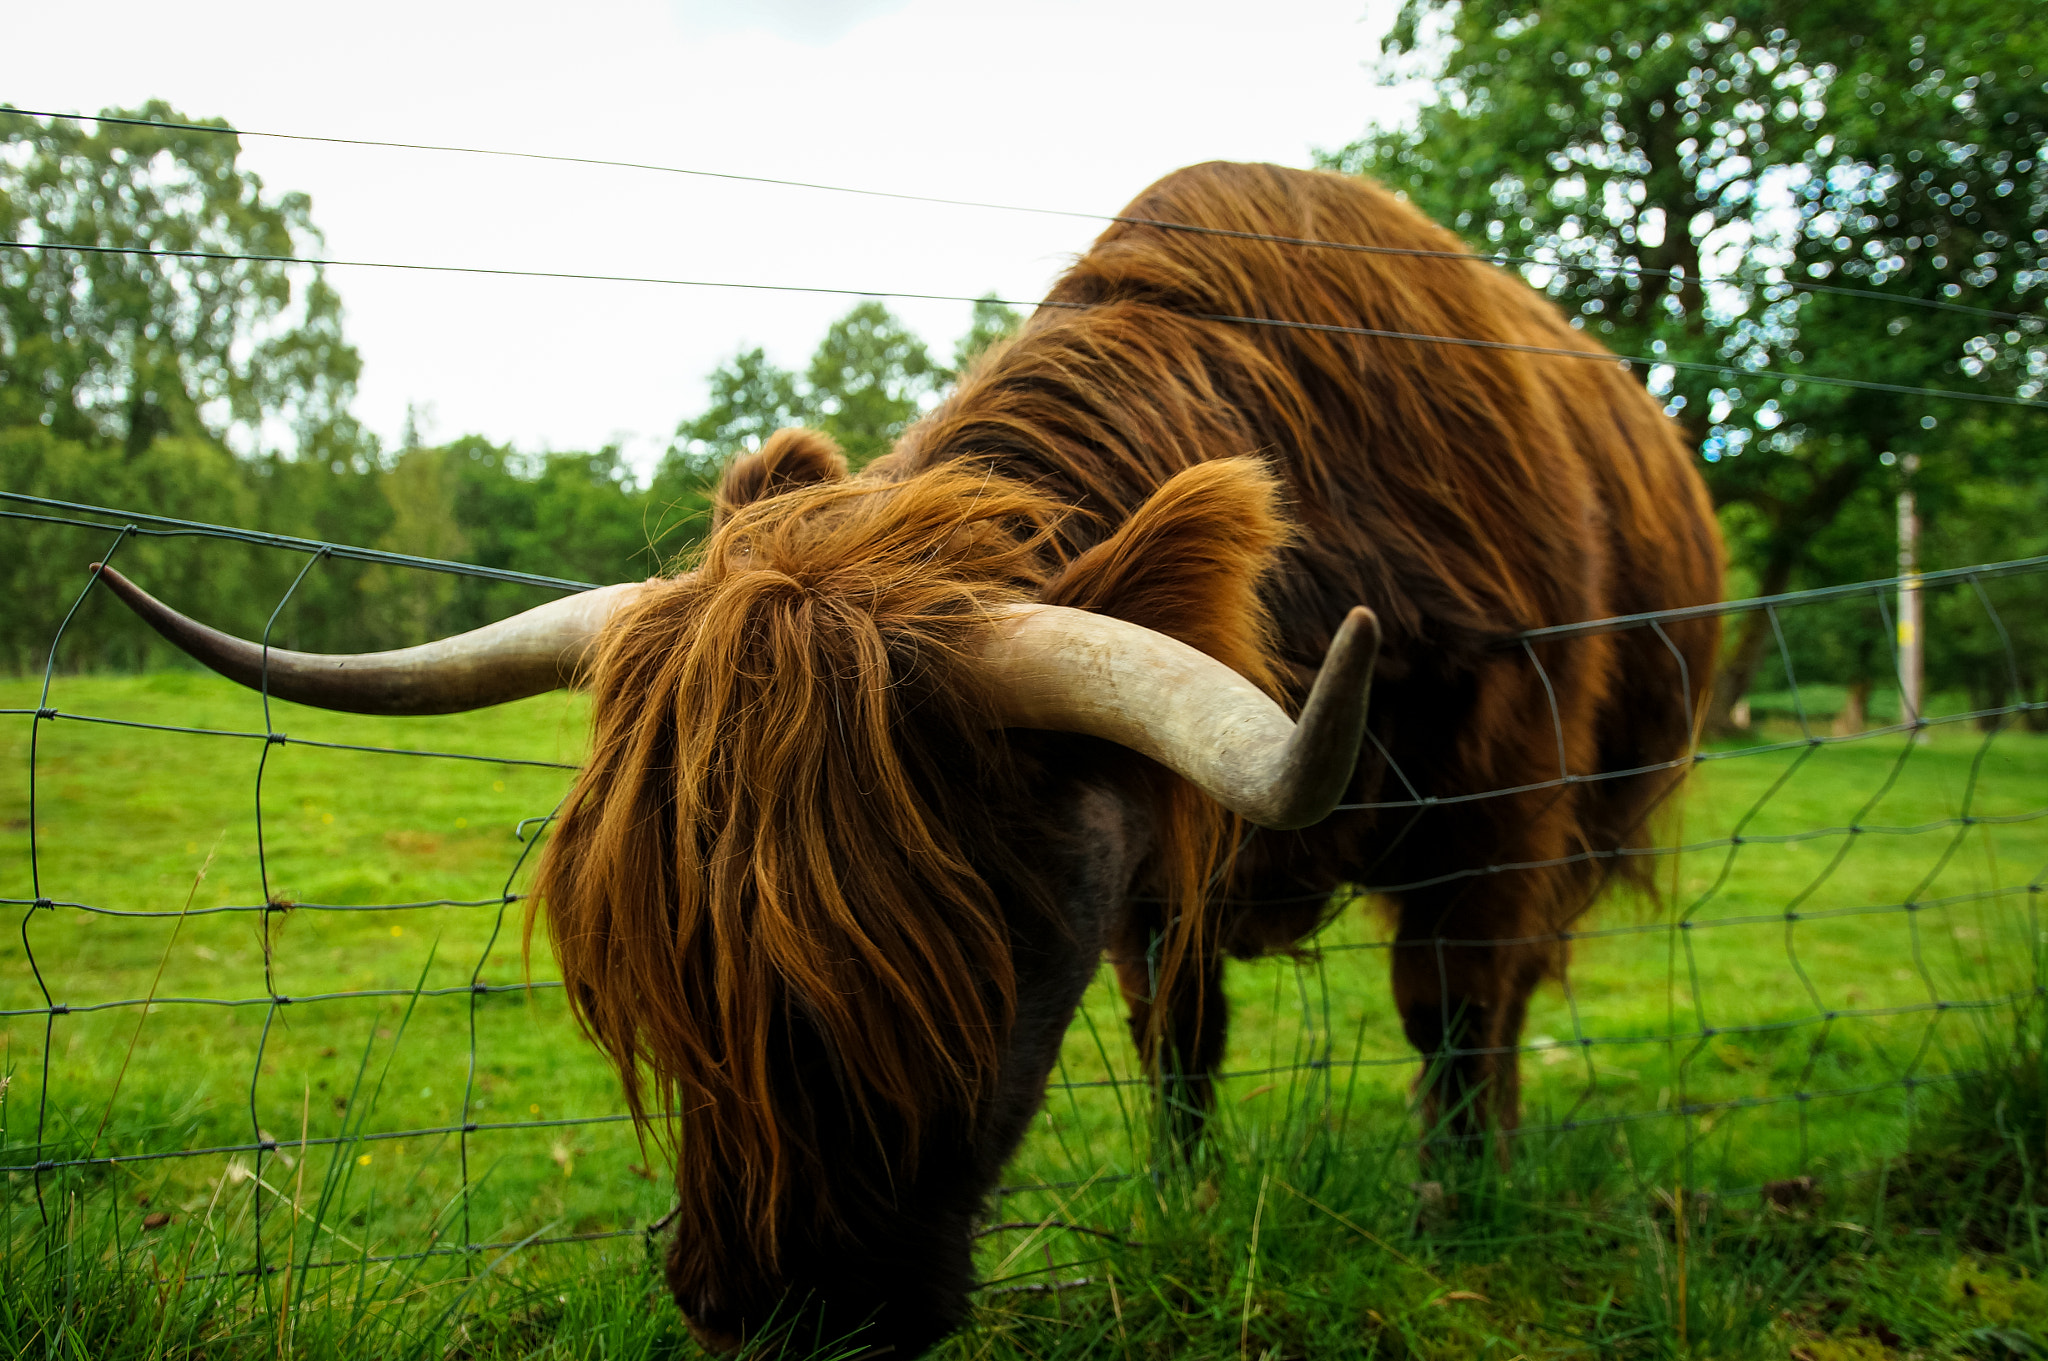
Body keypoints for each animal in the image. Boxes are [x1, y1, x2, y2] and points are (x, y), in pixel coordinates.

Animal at [103, 161, 1720, 1358]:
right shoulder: (1160, 851)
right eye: (651, 979)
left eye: (945, 953)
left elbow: (1450, 1001)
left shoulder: (1502, 783)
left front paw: (1461, 1202)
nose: (770, 1316)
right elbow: (1180, 1033)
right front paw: (1181, 1191)